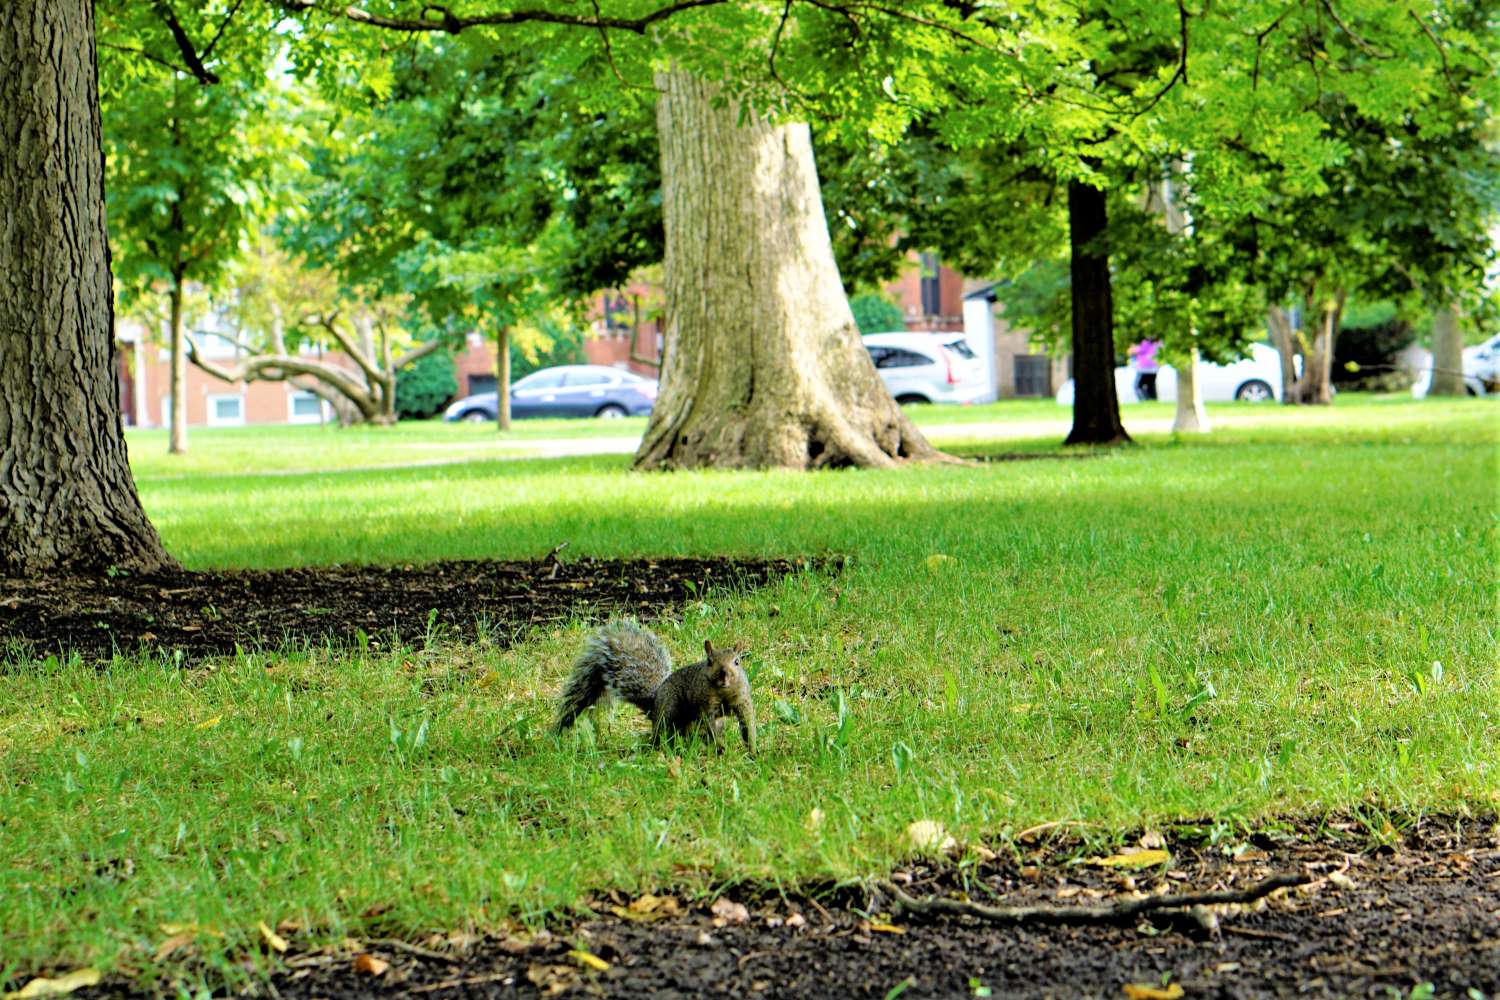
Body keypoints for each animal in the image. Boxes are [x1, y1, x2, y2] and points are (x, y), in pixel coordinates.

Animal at [554, 620, 756, 754]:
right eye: (709, 661)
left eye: (737, 661)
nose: (724, 674)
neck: (723, 692)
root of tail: (654, 703)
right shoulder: (705, 704)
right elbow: (709, 722)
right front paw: (722, 746)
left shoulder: (742, 701)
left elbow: (747, 724)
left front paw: (753, 750)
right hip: (669, 709)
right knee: (663, 736)